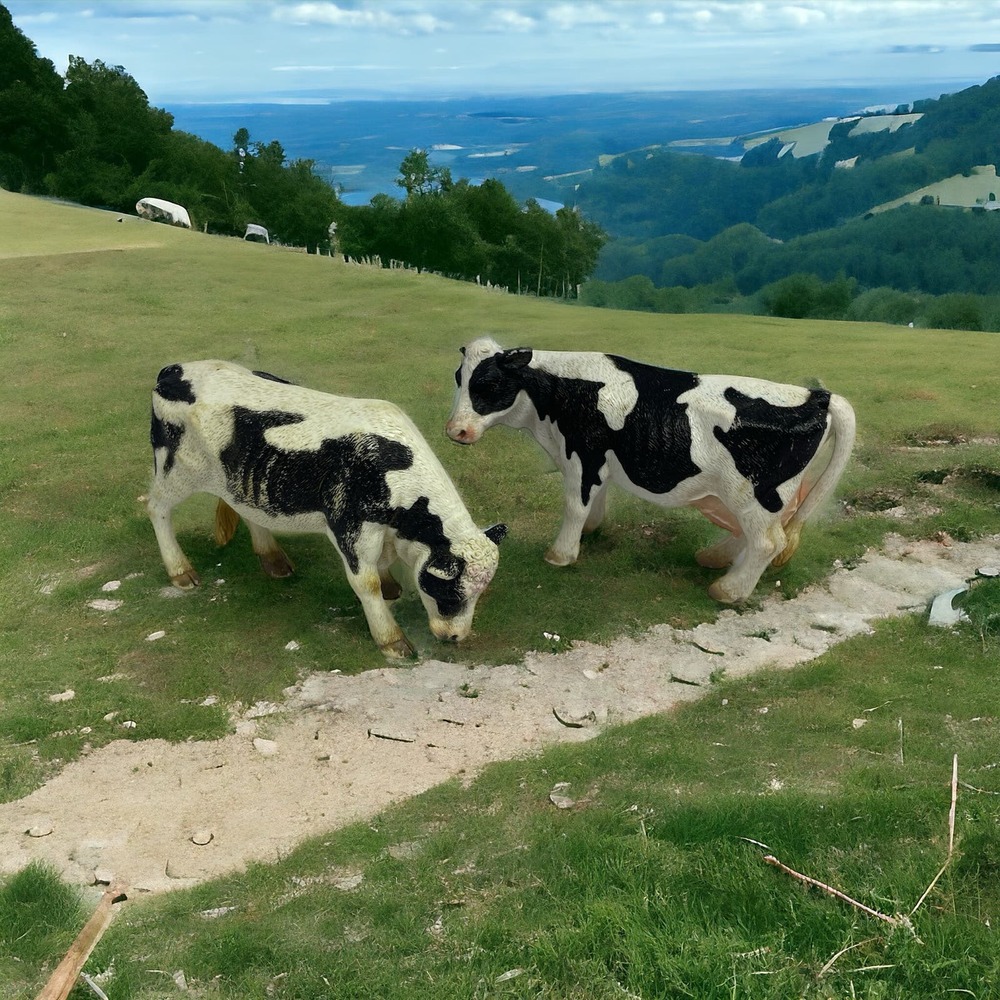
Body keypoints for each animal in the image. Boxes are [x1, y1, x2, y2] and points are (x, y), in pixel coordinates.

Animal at [148, 360, 506, 658]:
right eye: (451, 594)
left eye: (480, 592)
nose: (455, 637)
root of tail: (173, 370)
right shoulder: (350, 525)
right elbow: (366, 582)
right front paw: (391, 640)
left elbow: (382, 568)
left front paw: (391, 587)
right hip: (176, 469)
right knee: (156, 508)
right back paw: (180, 572)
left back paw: (274, 560)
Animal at [446, 337, 855, 605]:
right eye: (458, 378)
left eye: (489, 383)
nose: (455, 431)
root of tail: (818, 396)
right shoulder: (598, 461)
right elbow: (595, 499)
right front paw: (590, 531)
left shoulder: (583, 455)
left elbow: (575, 504)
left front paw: (561, 554)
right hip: (742, 495)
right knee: (752, 534)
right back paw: (715, 559)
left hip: (757, 492)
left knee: (769, 541)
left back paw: (728, 590)